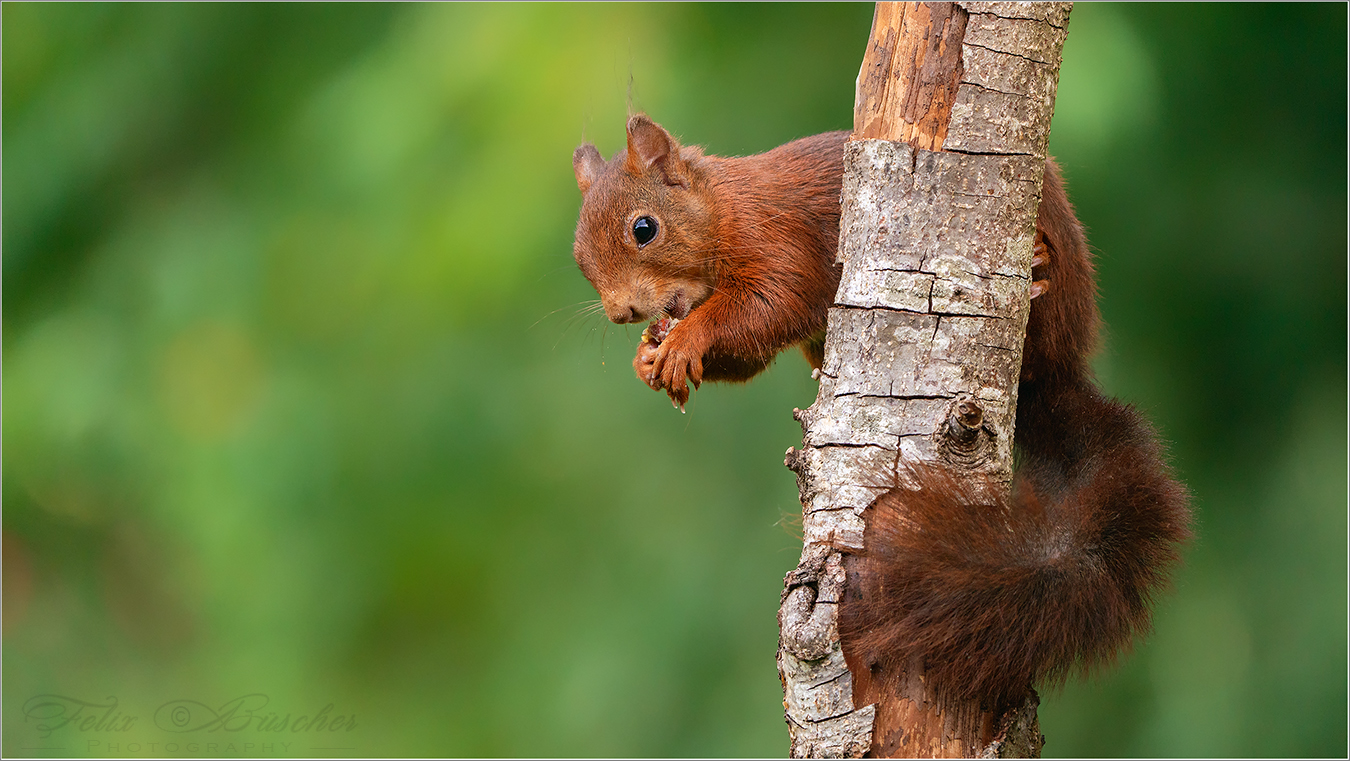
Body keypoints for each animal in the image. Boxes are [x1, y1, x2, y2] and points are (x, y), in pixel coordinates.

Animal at [569, 114, 1193, 707]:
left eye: (644, 228)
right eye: (578, 259)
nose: (622, 312)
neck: (722, 209)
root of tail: (1061, 374)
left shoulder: (776, 238)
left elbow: (768, 305)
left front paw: (683, 340)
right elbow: (749, 354)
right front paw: (647, 357)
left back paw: (1038, 267)